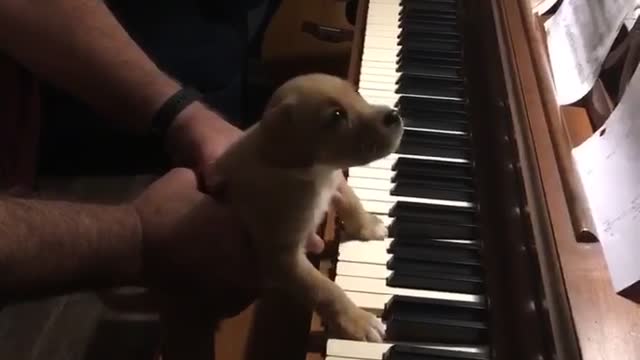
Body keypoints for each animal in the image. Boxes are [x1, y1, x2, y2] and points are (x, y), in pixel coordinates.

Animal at [206, 72, 404, 340]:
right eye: (337, 116)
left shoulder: (335, 180)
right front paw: (358, 321)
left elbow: (351, 200)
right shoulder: (282, 256)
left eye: (355, 93)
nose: (394, 115)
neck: (313, 174)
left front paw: (369, 226)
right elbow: (325, 289)